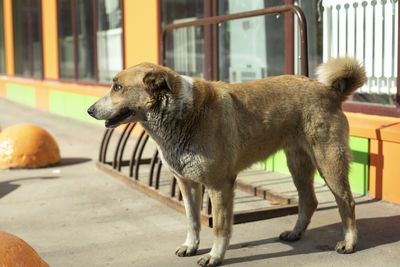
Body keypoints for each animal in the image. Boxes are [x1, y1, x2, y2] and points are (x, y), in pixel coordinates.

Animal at [89, 57, 368, 266]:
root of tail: (330, 91)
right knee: (309, 201)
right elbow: (192, 220)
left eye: (117, 87)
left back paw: (350, 243)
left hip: (328, 162)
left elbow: (220, 227)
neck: (180, 114)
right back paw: (295, 233)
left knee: (347, 201)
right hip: (298, 164)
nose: (90, 110)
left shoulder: (219, 185)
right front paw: (191, 247)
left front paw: (214, 257)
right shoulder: (187, 184)